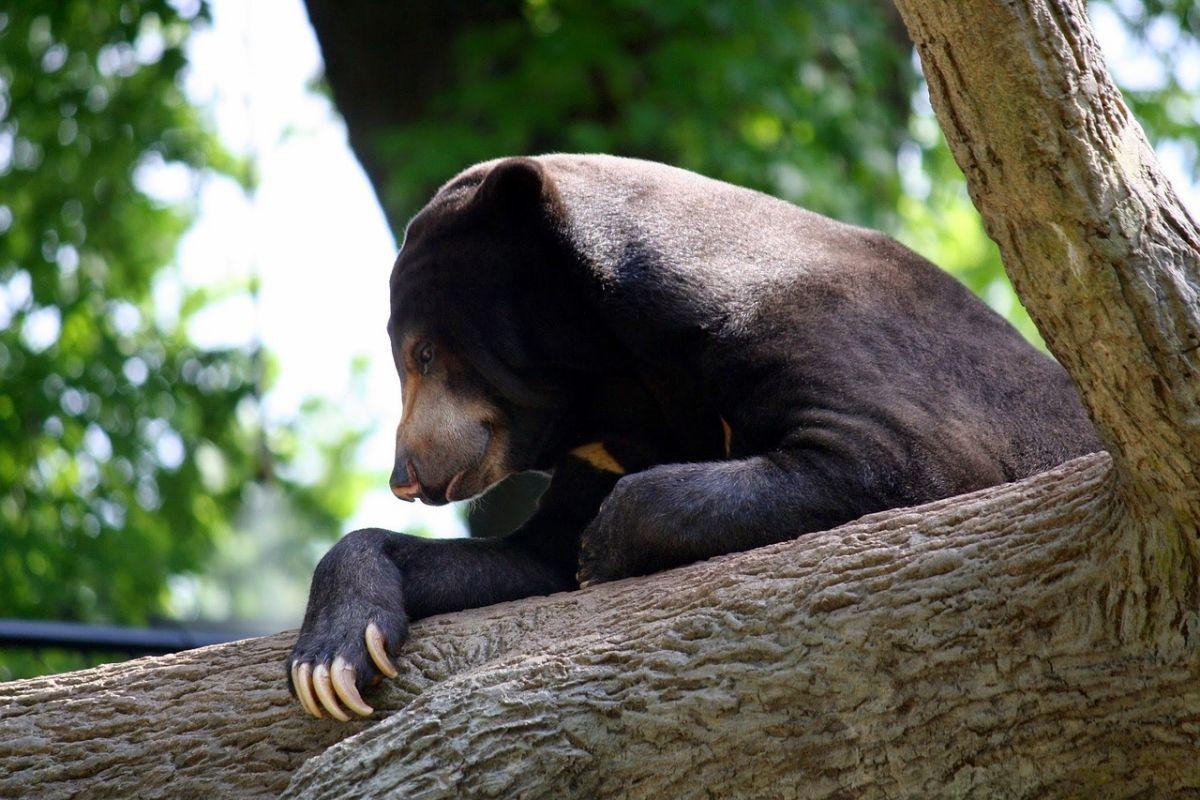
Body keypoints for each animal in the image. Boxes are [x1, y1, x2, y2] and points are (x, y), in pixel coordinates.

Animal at [285, 151, 1099, 719]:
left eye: (422, 353)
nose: (406, 475)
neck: (612, 379)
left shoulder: (821, 331)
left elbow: (892, 457)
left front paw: (603, 549)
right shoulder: (603, 444)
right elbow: (527, 557)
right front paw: (329, 665)